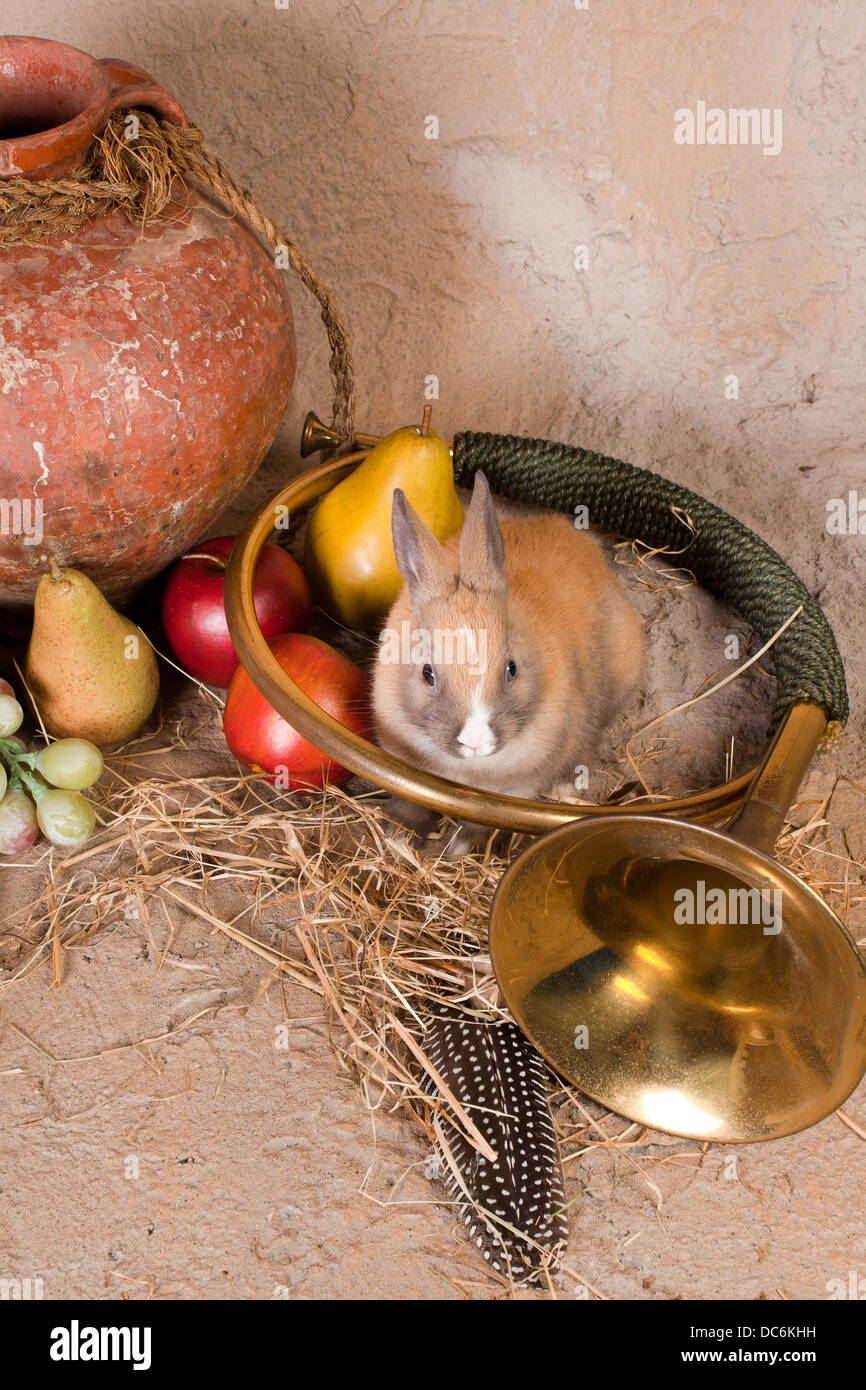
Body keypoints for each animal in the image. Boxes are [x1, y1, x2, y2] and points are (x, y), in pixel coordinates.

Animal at [372, 471, 645, 855]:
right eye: (427, 673)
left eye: (511, 668)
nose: (474, 741)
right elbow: (410, 801)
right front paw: (398, 835)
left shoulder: (511, 790)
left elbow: (479, 821)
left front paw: (455, 848)